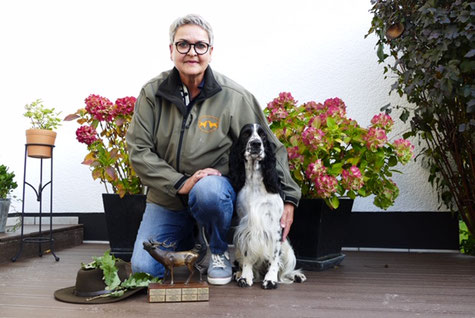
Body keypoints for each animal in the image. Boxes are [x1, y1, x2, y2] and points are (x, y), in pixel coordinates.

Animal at [230, 124, 304, 290]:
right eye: (246, 134)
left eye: (263, 135)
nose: (256, 144)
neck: (255, 183)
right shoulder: (246, 226)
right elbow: (247, 254)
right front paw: (245, 277)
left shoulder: (275, 226)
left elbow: (274, 257)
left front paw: (270, 279)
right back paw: (238, 274)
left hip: (288, 250)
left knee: (285, 272)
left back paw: (296, 275)